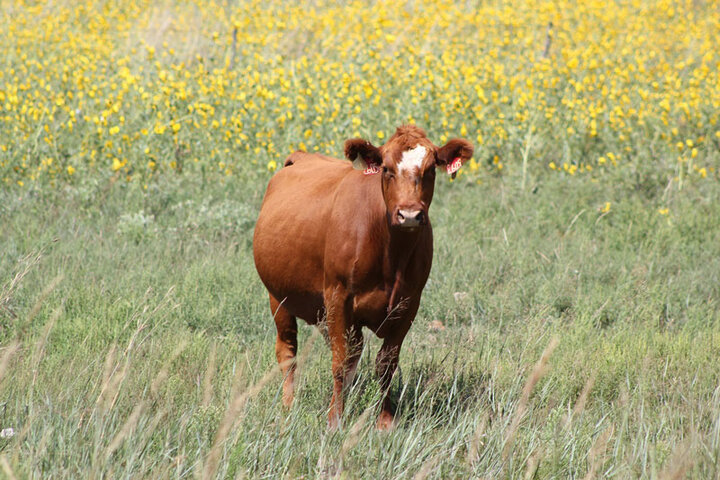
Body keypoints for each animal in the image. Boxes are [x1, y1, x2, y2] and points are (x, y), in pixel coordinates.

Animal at [253, 125, 472, 430]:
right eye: (387, 169)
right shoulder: (337, 296)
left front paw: (385, 420)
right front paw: (335, 420)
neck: (391, 255)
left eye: (430, 170)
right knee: (288, 353)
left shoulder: (408, 304)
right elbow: (339, 362)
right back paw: (288, 406)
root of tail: (301, 156)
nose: (409, 215)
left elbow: (385, 363)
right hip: (279, 298)